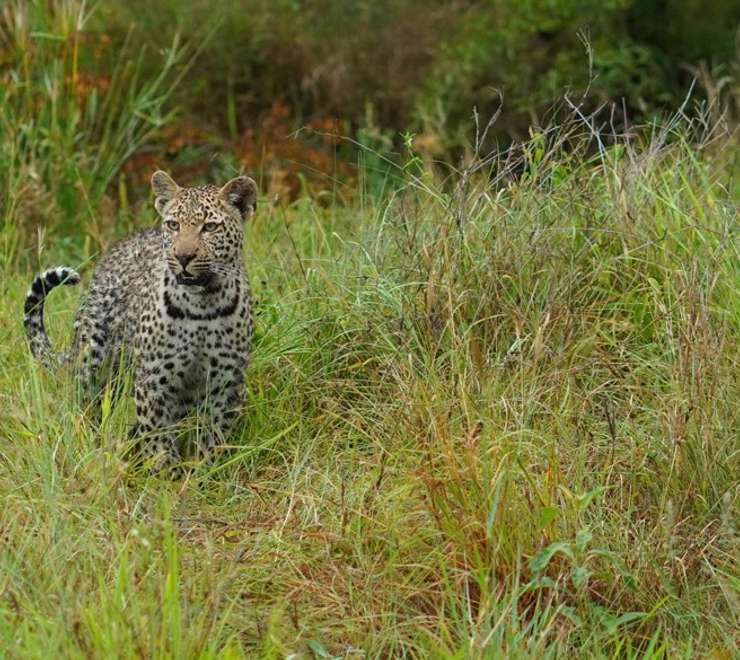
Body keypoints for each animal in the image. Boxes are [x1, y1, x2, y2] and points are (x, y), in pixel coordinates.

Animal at [23, 171, 258, 475]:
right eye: (173, 225)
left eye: (209, 227)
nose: (183, 257)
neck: (202, 306)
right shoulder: (155, 378)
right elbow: (157, 435)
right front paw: (165, 476)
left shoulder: (226, 381)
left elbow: (214, 435)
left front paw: (207, 472)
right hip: (93, 361)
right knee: (86, 409)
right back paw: (90, 446)